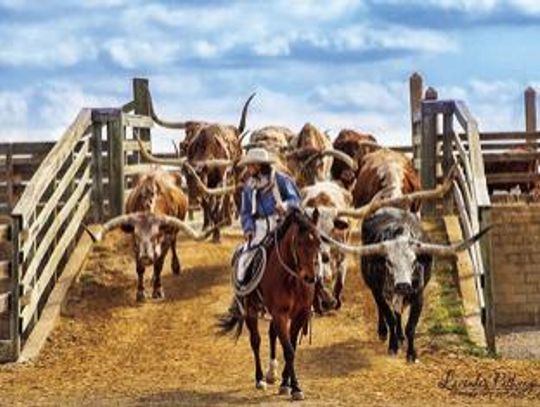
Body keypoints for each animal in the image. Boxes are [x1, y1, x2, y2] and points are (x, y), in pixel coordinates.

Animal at [218, 210, 320, 402]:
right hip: (251, 310)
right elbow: (288, 350)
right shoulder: (280, 314)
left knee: (273, 334)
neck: (292, 279)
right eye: (299, 242)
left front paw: (286, 383)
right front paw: (295, 387)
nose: (310, 278)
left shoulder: (299, 315)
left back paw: (272, 373)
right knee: (256, 341)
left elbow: (291, 346)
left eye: (318, 242)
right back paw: (260, 379)